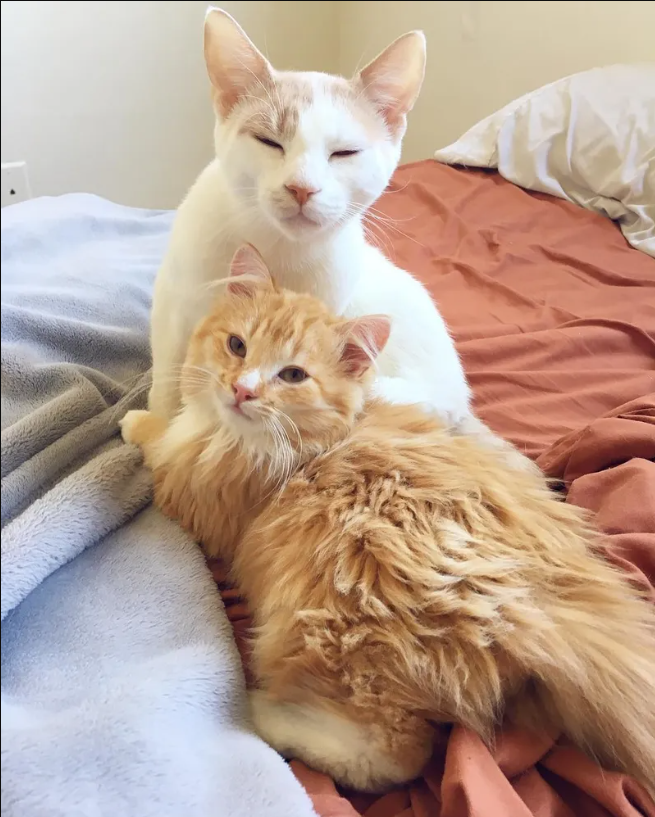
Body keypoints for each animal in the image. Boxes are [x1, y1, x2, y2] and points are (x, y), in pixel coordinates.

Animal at [121, 245, 652, 792]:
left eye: (292, 376)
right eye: (237, 346)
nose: (242, 390)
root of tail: (543, 603)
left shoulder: (194, 492)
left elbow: (156, 440)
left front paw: (135, 421)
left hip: (336, 627)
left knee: (394, 754)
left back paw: (261, 715)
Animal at [149, 4, 524, 466]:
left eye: (344, 153)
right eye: (269, 141)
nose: (302, 188)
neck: (276, 246)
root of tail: (461, 397)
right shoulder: (174, 308)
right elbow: (168, 381)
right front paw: (163, 427)